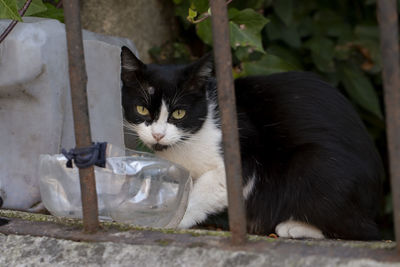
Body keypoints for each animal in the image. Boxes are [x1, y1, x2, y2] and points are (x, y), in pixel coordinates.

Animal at [120, 46, 382, 241]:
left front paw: (173, 220)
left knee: (364, 231)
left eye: (178, 113)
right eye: (142, 109)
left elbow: (200, 193)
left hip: (315, 164)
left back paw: (296, 227)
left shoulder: (243, 156)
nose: (158, 135)